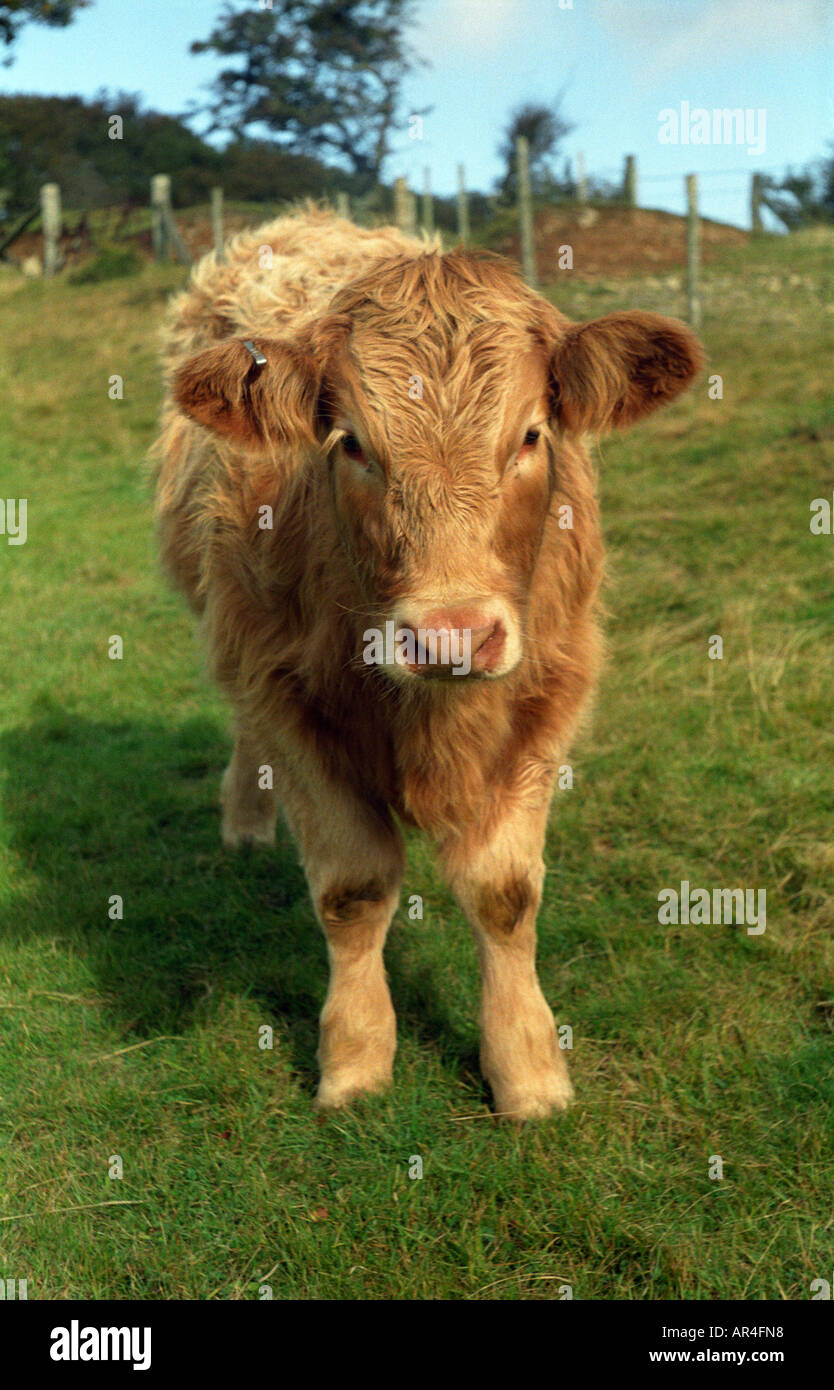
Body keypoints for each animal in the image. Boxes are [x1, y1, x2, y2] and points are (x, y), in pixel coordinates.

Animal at [151, 208, 703, 1117]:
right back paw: (245, 824)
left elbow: (504, 892)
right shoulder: (283, 690)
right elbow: (354, 887)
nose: (450, 635)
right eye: (351, 444)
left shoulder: (551, 690)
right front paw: (355, 1060)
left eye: (530, 434)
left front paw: (528, 1069)